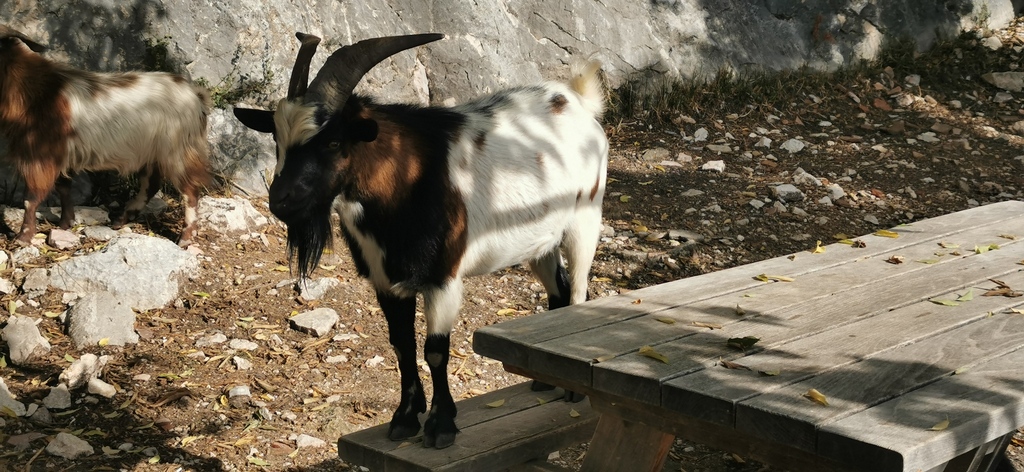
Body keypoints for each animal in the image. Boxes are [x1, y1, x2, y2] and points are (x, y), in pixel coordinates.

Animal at [0, 24, 211, 246]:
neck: (37, 92)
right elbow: (64, 188)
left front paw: (23, 237)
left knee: (190, 190)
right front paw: (65, 224)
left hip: (177, 150)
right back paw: (122, 219)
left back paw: (185, 238)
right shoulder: (59, 154)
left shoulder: (41, 154)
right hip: (151, 153)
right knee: (151, 185)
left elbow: (31, 198)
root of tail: (196, 97)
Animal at [234, 34, 606, 448]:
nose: (281, 201)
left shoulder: (443, 279)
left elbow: (436, 351)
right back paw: (543, 381)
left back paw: (571, 390)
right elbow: (402, 346)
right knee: (557, 290)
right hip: (540, 241)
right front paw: (405, 417)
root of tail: (577, 101)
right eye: (277, 139)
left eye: (332, 142)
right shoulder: (386, 281)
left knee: (577, 291)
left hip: (585, 219)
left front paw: (441, 425)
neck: (408, 182)